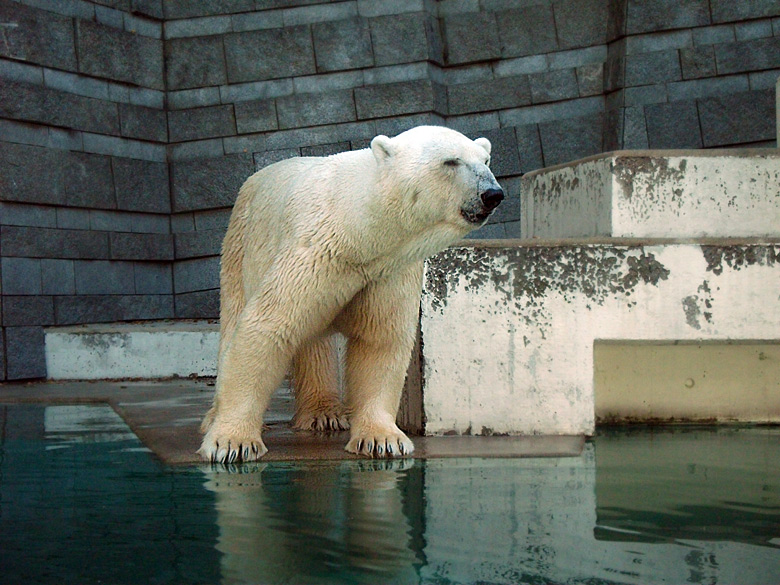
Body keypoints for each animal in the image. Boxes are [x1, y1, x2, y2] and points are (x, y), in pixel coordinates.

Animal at [198, 124, 502, 460]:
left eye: (486, 159)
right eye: (451, 161)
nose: (492, 194)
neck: (358, 230)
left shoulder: (387, 270)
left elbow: (379, 340)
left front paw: (384, 439)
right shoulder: (314, 253)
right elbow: (267, 327)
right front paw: (232, 442)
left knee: (313, 339)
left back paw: (325, 413)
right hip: (239, 245)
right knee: (235, 318)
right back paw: (215, 416)